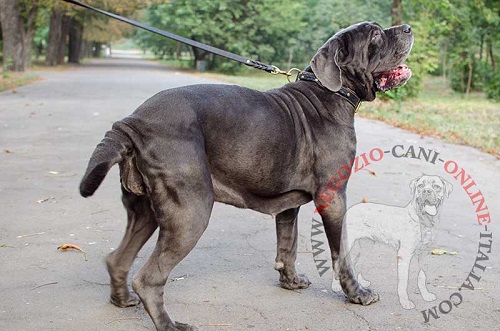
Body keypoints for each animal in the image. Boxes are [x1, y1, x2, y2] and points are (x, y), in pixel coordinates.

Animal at [79, 22, 414, 330]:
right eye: (375, 35)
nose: (409, 28)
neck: (331, 93)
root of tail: (132, 122)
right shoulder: (333, 197)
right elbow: (341, 252)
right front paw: (358, 294)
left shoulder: (289, 204)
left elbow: (288, 245)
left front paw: (291, 281)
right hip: (189, 212)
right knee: (148, 278)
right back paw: (169, 324)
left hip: (146, 210)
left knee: (117, 259)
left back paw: (122, 299)